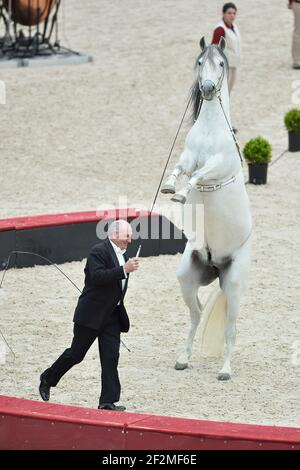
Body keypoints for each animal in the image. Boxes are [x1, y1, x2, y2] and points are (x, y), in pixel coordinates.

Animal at [161, 37, 252, 382]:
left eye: (221, 64)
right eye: (200, 62)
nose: (209, 89)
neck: (212, 128)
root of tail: (216, 265)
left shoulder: (216, 166)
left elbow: (198, 175)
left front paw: (182, 195)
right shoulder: (188, 156)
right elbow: (180, 167)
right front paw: (170, 188)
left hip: (234, 284)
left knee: (231, 327)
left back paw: (225, 370)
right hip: (188, 278)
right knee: (197, 314)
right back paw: (183, 359)